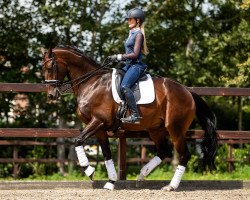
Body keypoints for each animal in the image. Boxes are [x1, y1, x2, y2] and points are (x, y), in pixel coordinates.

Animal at [41, 45, 217, 191]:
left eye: (50, 67)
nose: (51, 95)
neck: (92, 83)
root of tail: (187, 91)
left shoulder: (98, 121)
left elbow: (78, 140)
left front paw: (89, 170)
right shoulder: (100, 129)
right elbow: (106, 153)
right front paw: (110, 182)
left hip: (175, 127)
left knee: (184, 154)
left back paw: (171, 186)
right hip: (156, 129)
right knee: (163, 151)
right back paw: (142, 175)